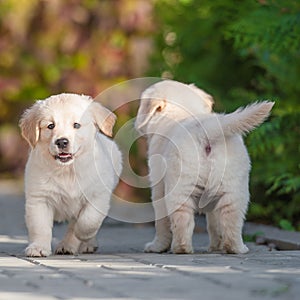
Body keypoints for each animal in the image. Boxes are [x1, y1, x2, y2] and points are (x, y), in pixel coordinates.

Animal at [19, 93, 122, 255]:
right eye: (50, 126)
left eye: (77, 125)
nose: (62, 142)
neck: (67, 170)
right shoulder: (39, 199)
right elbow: (40, 227)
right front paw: (38, 247)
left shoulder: (98, 196)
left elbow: (88, 220)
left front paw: (83, 235)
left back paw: (79, 244)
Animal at [136, 79, 274, 253]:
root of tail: (206, 130)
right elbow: (214, 224)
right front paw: (216, 246)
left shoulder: (158, 190)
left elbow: (161, 224)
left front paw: (156, 246)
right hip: (235, 191)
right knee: (231, 222)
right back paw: (236, 248)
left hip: (180, 189)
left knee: (182, 222)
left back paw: (181, 248)